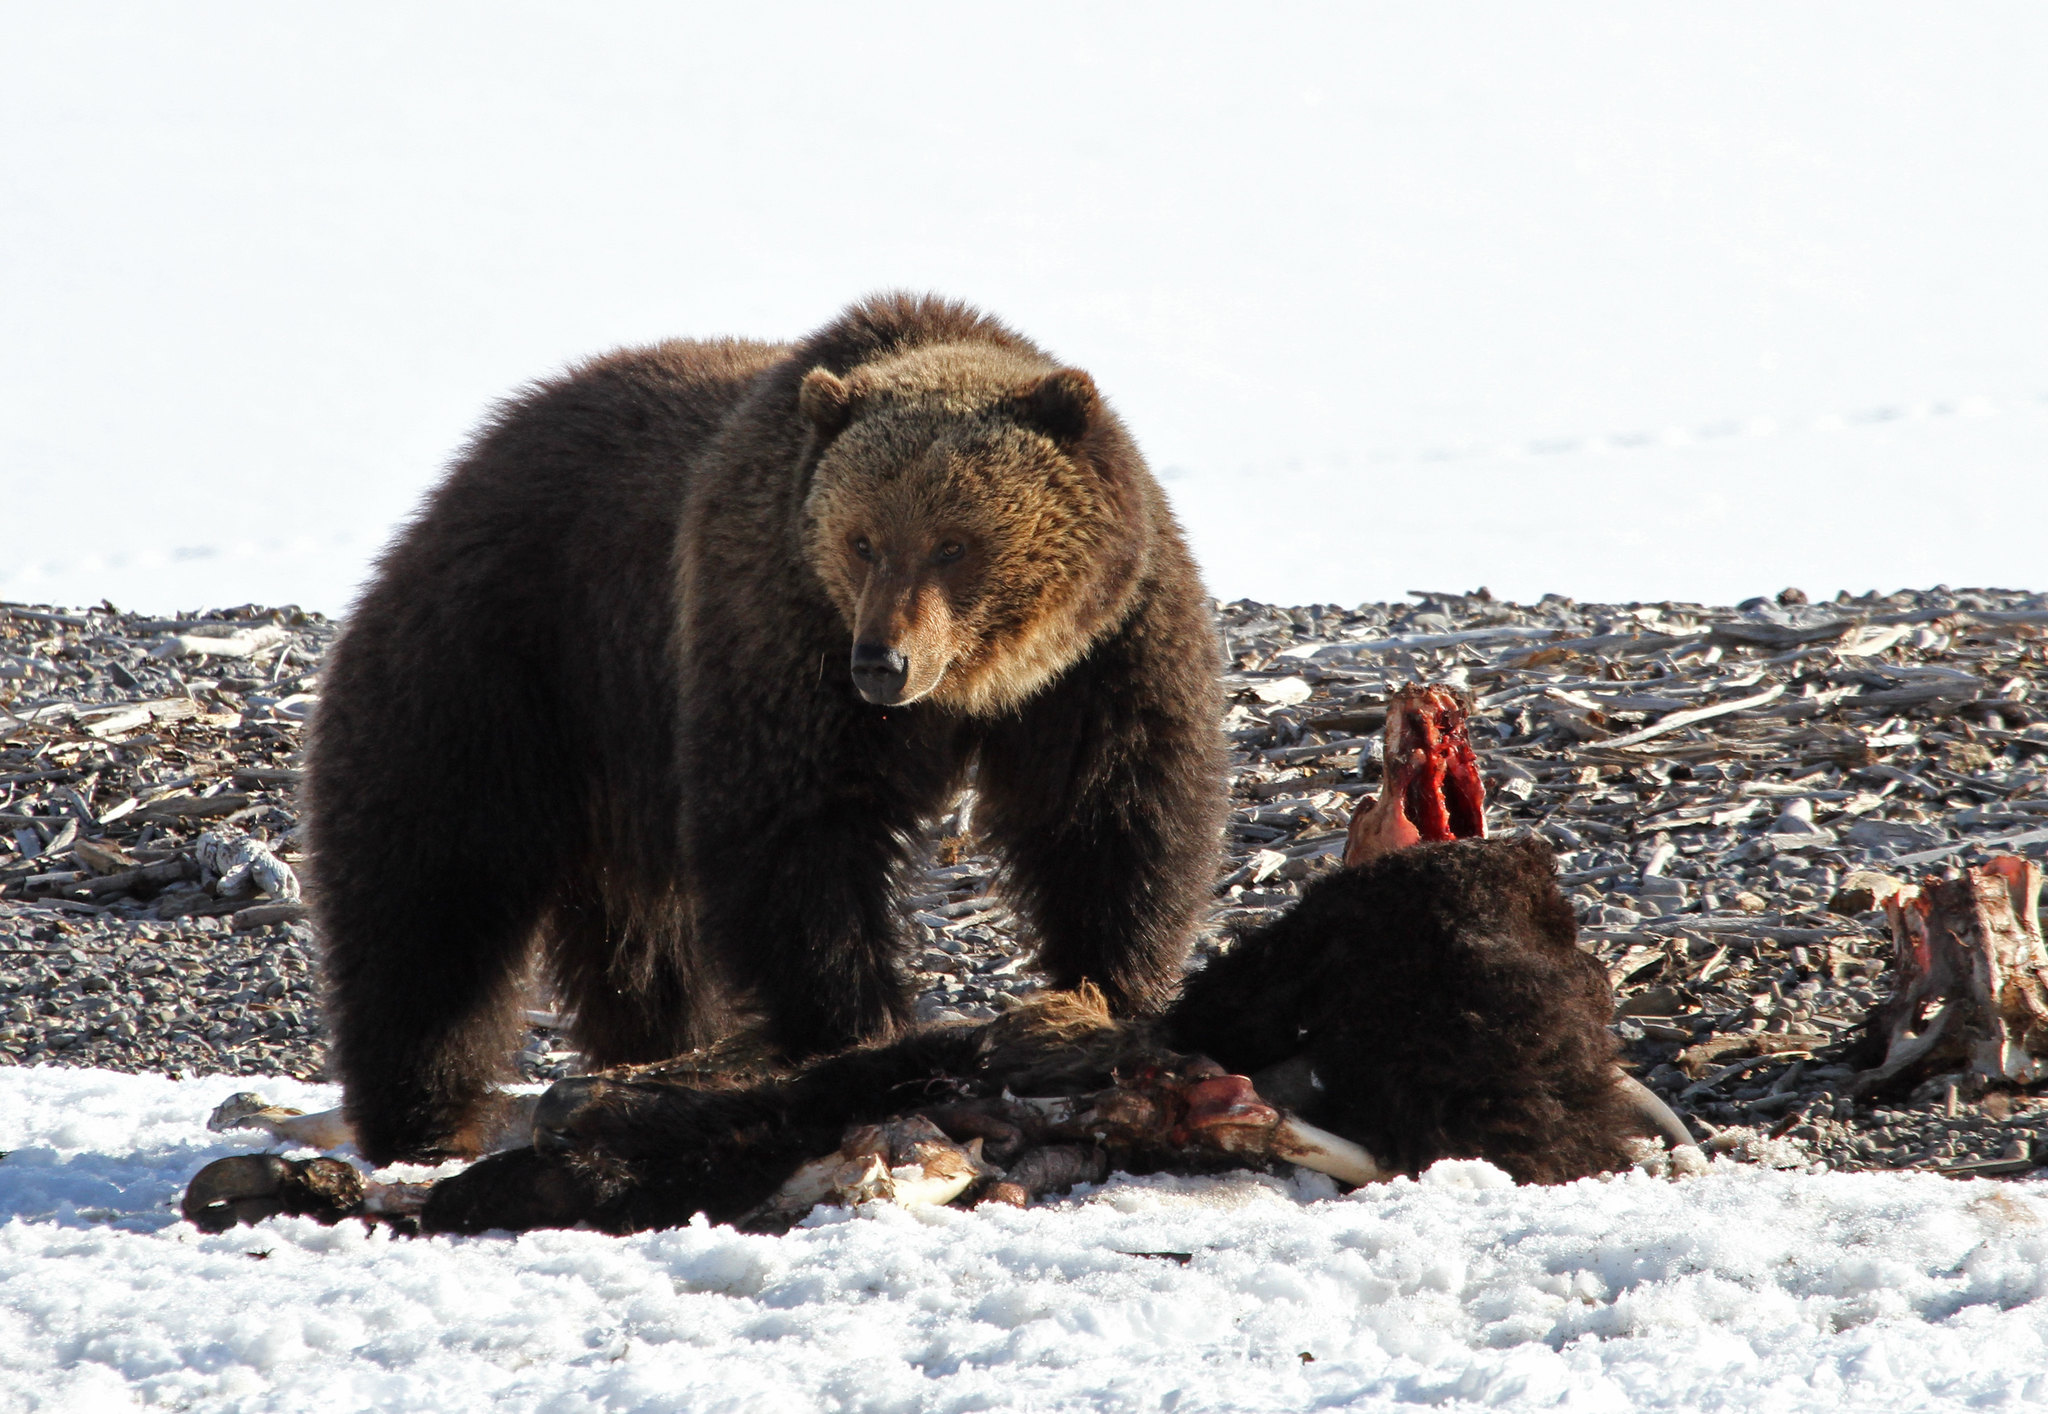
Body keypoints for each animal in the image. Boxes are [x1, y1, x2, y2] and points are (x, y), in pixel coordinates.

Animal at [304, 293, 1228, 1166]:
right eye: (862, 540)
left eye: (954, 544)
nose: (882, 662)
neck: (979, 686)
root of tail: (468, 466)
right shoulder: (780, 631)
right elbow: (797, 831)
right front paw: (856, 1028)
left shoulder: (1105, 654)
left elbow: (1113, 813)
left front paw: (1101, 996)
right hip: (507, 662)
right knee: (432, 892)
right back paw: (424, 1117)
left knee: (643, 940)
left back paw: (653, 1048)